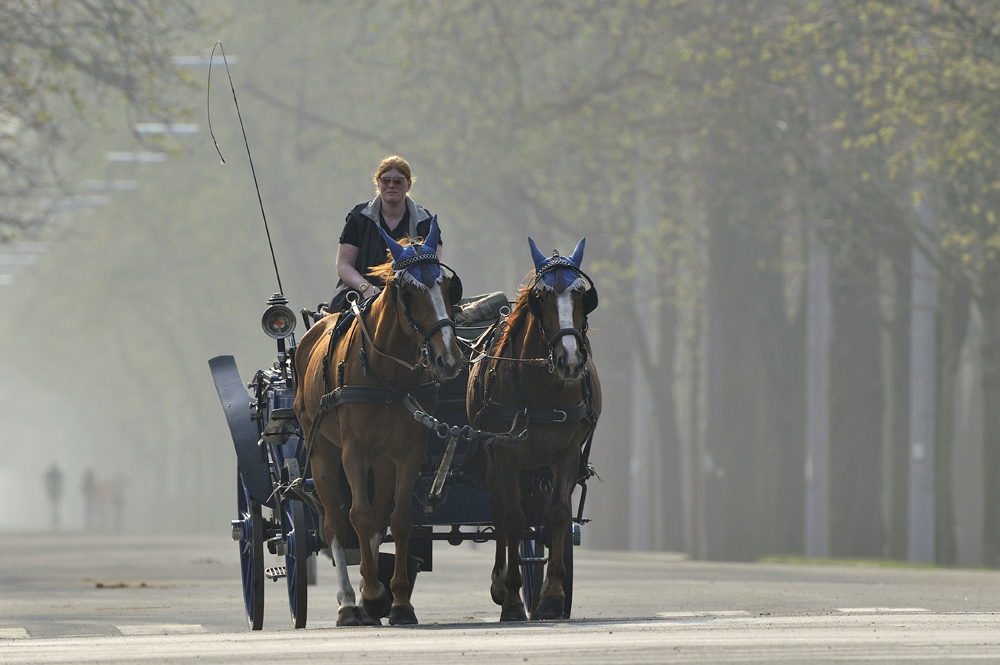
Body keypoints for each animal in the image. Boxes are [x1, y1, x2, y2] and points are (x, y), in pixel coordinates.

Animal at [290, 215, 460, 624]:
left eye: (448, 286)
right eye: (408, 291)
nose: (448, 359)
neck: (387, 374)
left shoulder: (409, 450)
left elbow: (398, 520)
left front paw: (397, 600)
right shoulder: (354, 450)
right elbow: (359, 516)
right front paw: (368, 592)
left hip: (382, 460)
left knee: (380, 515)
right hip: (321, 451)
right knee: (334, 524)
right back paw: (349, 601)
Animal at [468, 236, 600, 620]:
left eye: (582, 294)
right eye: (540, 296)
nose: (570, 361)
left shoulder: (566, 454)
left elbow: (557, 515)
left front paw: (553, 596)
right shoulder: (502, 454)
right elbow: (512, 519)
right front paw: (512, 597)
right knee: (502, 512)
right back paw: (501, 583)